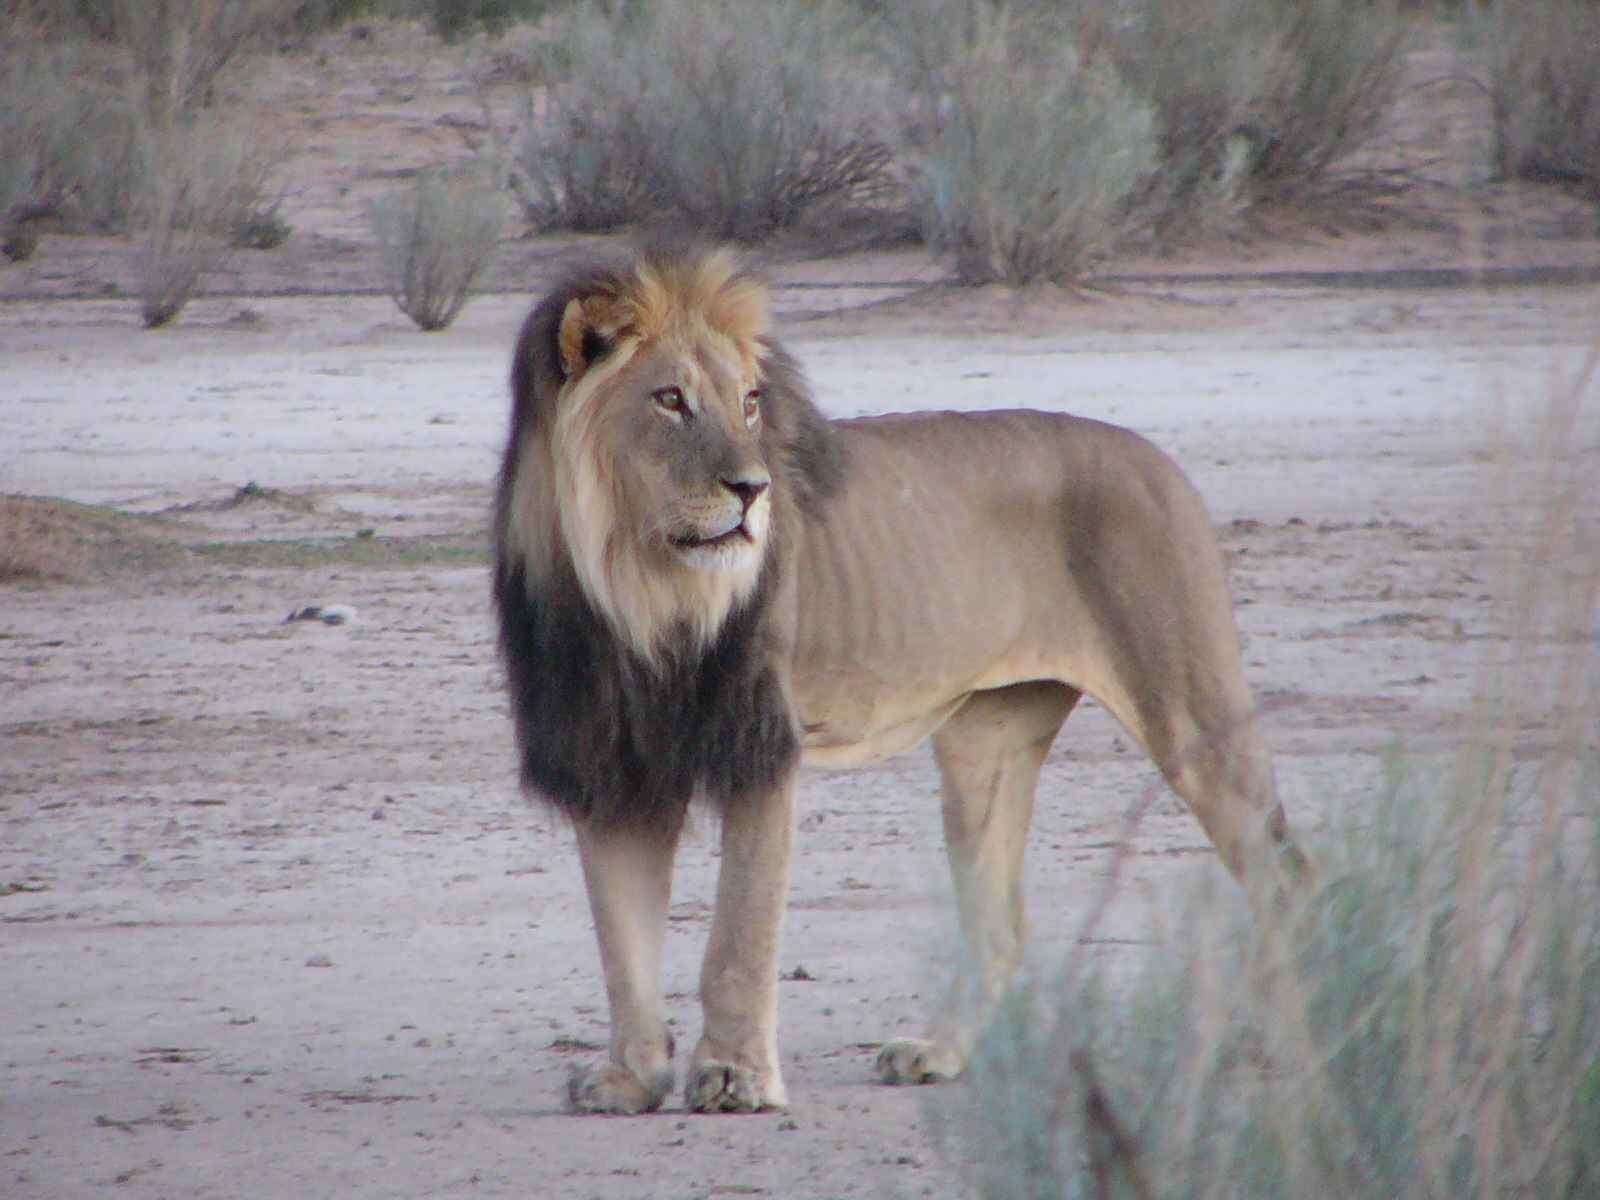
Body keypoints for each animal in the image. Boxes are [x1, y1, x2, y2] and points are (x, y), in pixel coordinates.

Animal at [491, 245, 1309, 1115]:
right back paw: (941, 1053)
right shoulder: (607, 766)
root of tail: (1160, 456)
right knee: (999, 921)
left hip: (1190, 714)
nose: (752, 489)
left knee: (1285, 875)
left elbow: (739, 934)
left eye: (748, 403)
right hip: (986, 741)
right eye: (670, 399)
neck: (637, 595)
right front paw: (630, 1077)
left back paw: (1299, 1039)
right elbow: (622, 942)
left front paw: (736, 1076)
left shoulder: (760, 747)